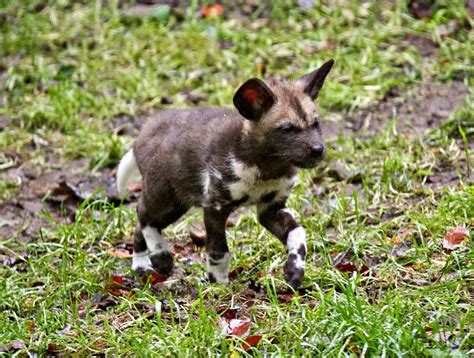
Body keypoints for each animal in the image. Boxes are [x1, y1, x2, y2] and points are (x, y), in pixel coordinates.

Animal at [118, 58, 334, 288]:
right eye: (287, 129)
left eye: (316, 124)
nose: (318, 149)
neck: (266, 168)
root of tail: (141, 135)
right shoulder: (215, 207)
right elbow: (218, 251)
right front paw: (219, 285)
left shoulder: (271, 209)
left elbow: (298, 234)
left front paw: (294, 270)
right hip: (163, 198)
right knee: (143, 214)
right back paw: (159, 256)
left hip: (177, 204)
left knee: (141, 224)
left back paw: (142, 264)